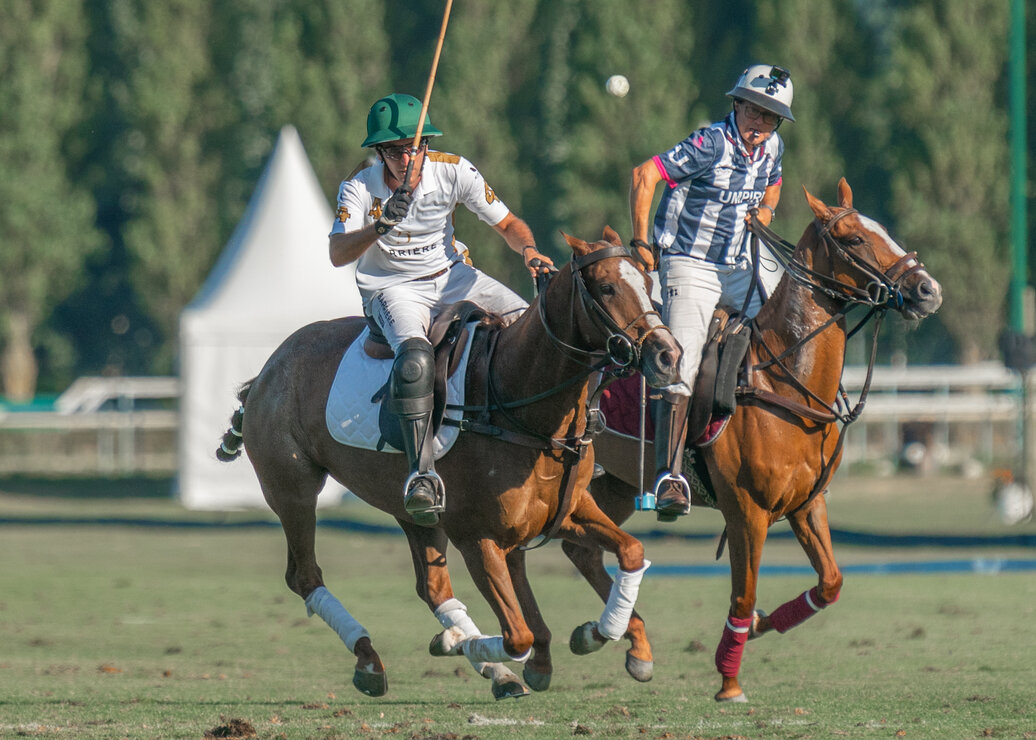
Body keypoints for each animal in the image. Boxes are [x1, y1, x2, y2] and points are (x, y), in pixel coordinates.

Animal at [215, 224, 683, 696]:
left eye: (648, 285)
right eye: (606, 288)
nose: (668, 355)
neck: (523, 406)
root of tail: (268, 368)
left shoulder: (568, 511)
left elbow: (631, 550)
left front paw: (615, 641)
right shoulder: (477, 537)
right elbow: (519, 635)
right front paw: (474, 647)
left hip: (414, 511)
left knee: (433, 587)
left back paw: (483, 661)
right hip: (292, 488)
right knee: (305, 575)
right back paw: (373, 660)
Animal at [563, 178, 944, 696]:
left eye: (881, 229)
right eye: (853, 239)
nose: (928, 290)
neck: (785, 380)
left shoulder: (807, 503)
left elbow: (830, 582)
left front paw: (762, 626)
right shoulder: (747, 510)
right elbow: (743, 596)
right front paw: (729, 682)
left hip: (615, 483)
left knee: (583, 547)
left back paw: (607, 637)